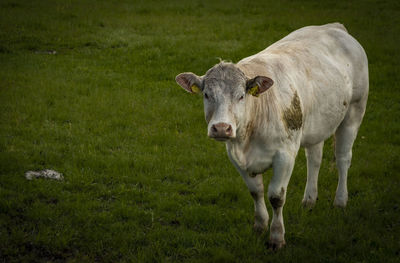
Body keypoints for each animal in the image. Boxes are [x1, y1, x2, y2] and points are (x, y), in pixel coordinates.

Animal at [175, 22, 368, 250]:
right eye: (206, 95)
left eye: (241, 96)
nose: (221, 128)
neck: (247, 140)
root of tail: (334, 27)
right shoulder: (235, 157)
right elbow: (256, 192)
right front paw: (259, 226)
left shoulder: (285, 155)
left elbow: (276, 197)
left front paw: (276, 237)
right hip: (316, 124)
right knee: (314, 159)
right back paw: (309, 200)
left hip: (354, 111)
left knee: (343, 158)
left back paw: (340, 201)